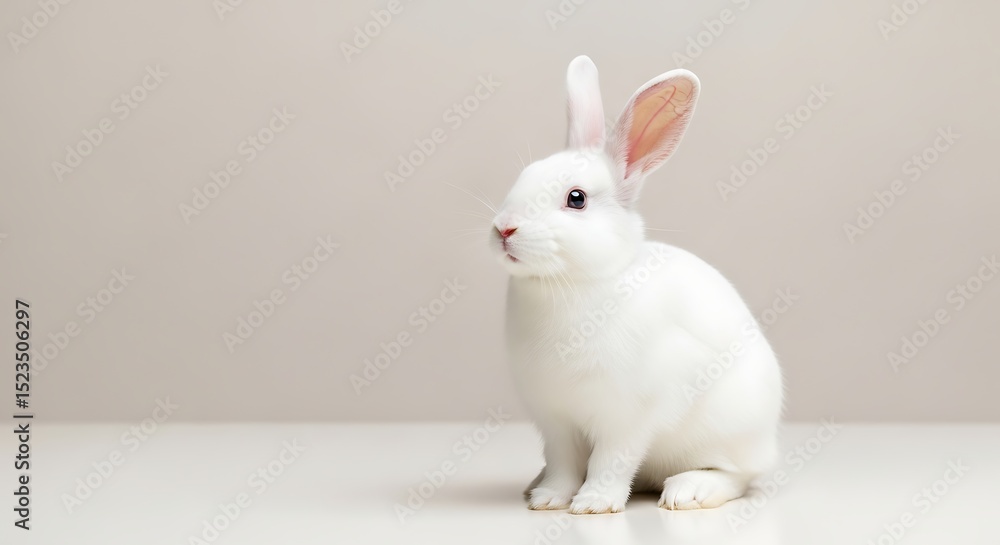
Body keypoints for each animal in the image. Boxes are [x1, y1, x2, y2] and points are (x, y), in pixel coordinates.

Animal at [489, 56, 783, 514]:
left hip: (731, 432)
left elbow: (611, 461)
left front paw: (592, 504)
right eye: (524, 176)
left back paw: (689, 491)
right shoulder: (555, 422)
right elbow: (562, 464)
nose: (503, 229)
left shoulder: (627, 418)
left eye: (576, 199)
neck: (580, 282)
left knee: (737, 476)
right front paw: (549, 498)